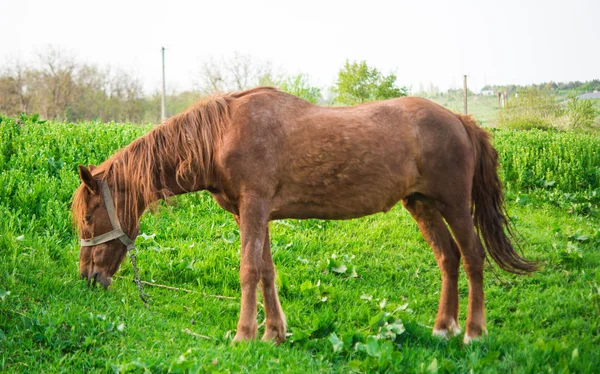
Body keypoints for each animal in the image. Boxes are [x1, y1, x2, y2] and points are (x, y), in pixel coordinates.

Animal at [72, 86, 536, 344]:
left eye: (88, 218)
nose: (89, 279)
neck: (222, 134)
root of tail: (459, 119)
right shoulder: (254, 214)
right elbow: (266, 270)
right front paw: (273, 334)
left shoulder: (254, 207)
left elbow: (247, 270)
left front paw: (243, 336)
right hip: (421, 204)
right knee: (448, 258)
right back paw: (443, 327)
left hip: (454, 205)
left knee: (473, 258)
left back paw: (473, 333)